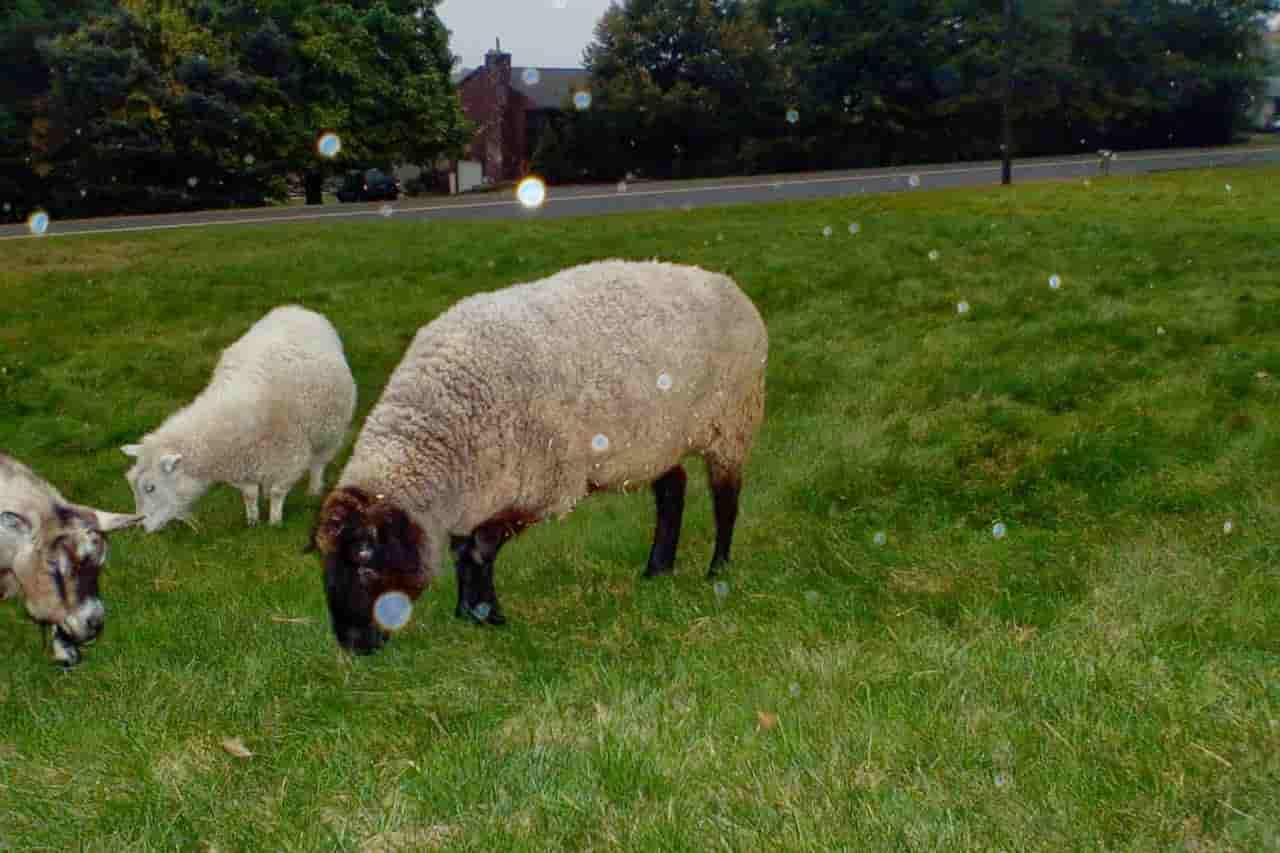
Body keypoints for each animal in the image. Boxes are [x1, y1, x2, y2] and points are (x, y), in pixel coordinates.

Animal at [122, 302, 358, 527]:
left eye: (151, 487)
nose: (140, 526)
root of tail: (296, 309)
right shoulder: (243, 463)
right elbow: (249, 494)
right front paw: (253, 521)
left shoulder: (289, 456)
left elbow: (278, 491)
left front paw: (275, 522)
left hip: (329, 430)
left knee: (319, 462)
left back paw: (314, 490)